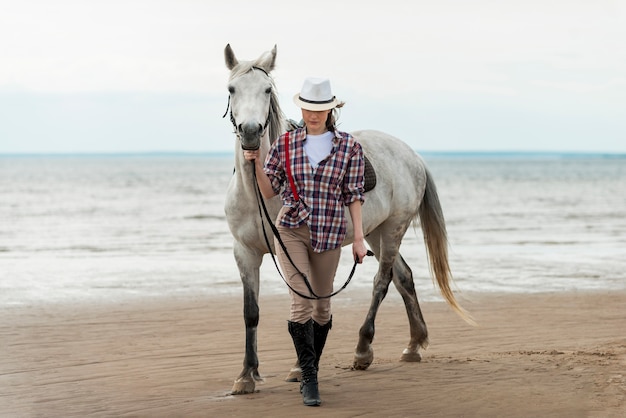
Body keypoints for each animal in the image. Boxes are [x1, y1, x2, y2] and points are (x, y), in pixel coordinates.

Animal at [222, 45, 470, 396]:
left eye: (267, 90)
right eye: (232, 89)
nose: (251, 132)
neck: (259, 190)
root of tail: (411, 155)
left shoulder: (291, 252)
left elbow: (305, 300)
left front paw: (297, 368)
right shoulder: (244, 252)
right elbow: (251, 312)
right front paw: (247, 375)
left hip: (393, 230)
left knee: (382, 281)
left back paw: (363, 349)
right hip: (375, 233)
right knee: (404, 277)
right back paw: (413, 345)